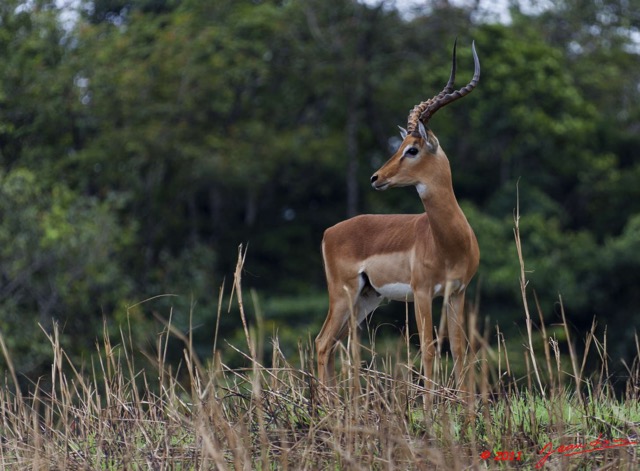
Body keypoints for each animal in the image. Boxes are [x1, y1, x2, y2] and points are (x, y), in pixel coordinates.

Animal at [316, 40, 480, 388]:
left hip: (367, 298)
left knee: (333, 345)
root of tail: (329, 232)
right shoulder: (422, 293)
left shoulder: (457, 292)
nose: (376, 177)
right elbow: (429, 349)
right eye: (402, 144)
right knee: (323, 343)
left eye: (412, 149)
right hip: (343, 294)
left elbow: (460, 350)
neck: (447, 242)